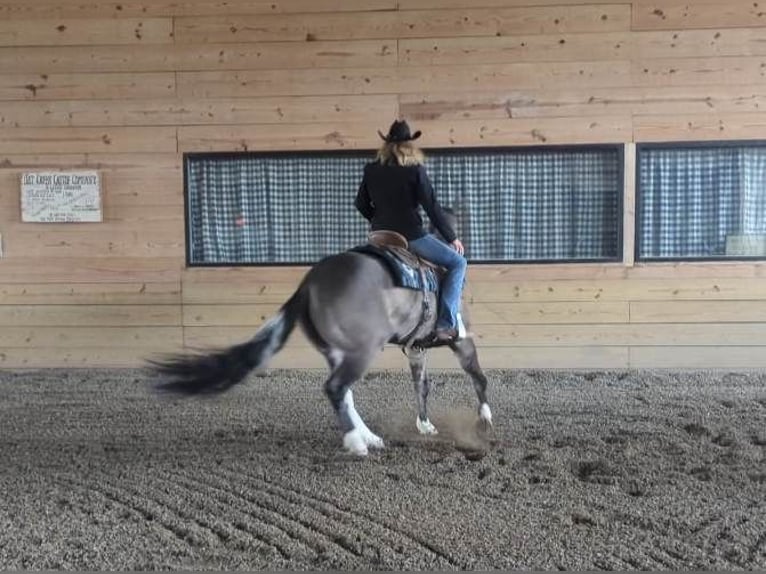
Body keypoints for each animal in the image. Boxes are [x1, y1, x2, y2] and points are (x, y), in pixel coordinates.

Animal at [149, 232, 496, 456]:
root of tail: (311, 281)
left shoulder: (415, 349)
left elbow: (421, 386)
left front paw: (425, 426)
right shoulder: (461, 341)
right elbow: (478, 377)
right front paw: (485, 420)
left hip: (338, 351)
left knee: (344, 394)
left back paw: (369, 437)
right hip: (362, 350)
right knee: (335, 388)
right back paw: (357, 442)